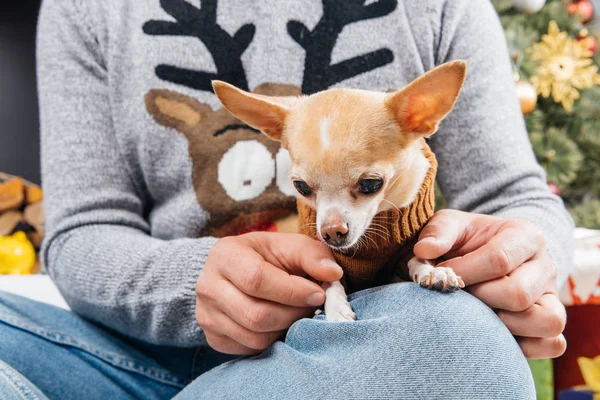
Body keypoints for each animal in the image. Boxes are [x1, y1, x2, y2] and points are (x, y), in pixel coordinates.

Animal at [214, 60, 468, 322]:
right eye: (301, 187)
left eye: (370, 184)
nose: (332, 233)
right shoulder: (322, 258)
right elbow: (330, 280)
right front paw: (336, 308)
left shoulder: (407, 247)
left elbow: (416, 256)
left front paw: (432, 272)